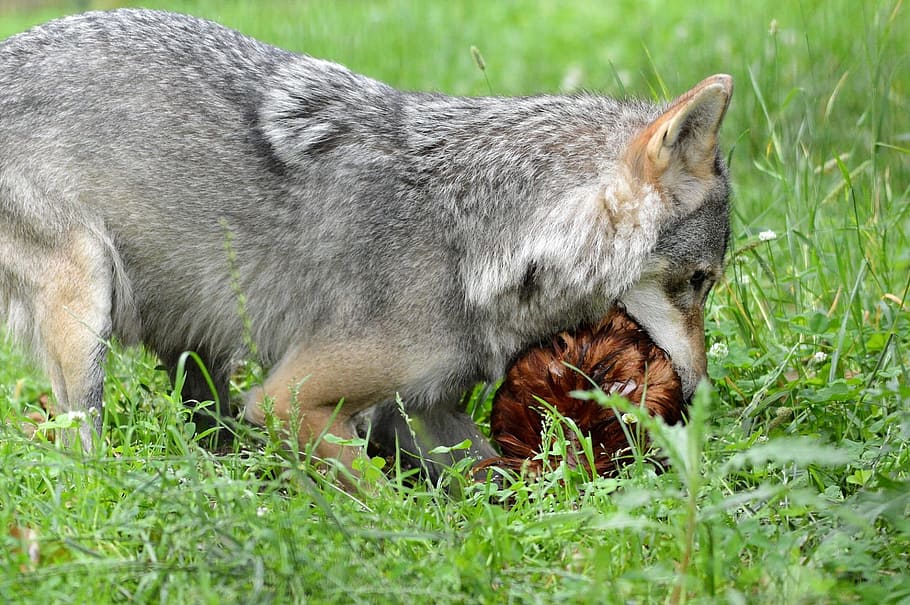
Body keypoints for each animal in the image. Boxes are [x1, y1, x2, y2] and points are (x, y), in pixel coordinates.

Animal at [0, 9, 732, 480]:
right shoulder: (288, 400)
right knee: (82, 455)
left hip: (196, 348)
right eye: (699, 282)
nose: (698, 396)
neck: (476, 236)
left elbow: (490, 480)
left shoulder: (428, 409)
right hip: (88, 309)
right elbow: (385, 499)